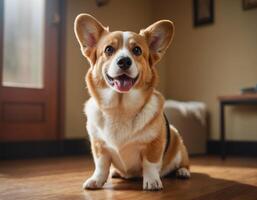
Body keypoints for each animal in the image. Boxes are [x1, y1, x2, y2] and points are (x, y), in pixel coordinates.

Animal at [73, 14, 189, 191]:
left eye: (137, 50)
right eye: (108, 49)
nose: (124, 61)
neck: (120, 108)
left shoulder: (154, 144)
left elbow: (150, 164)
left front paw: (152, 181)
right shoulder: (99, 146)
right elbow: (101, 165)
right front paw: (96, 180)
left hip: (176, 138)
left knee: (184, 163)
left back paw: (182, 171)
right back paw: (115, 172)